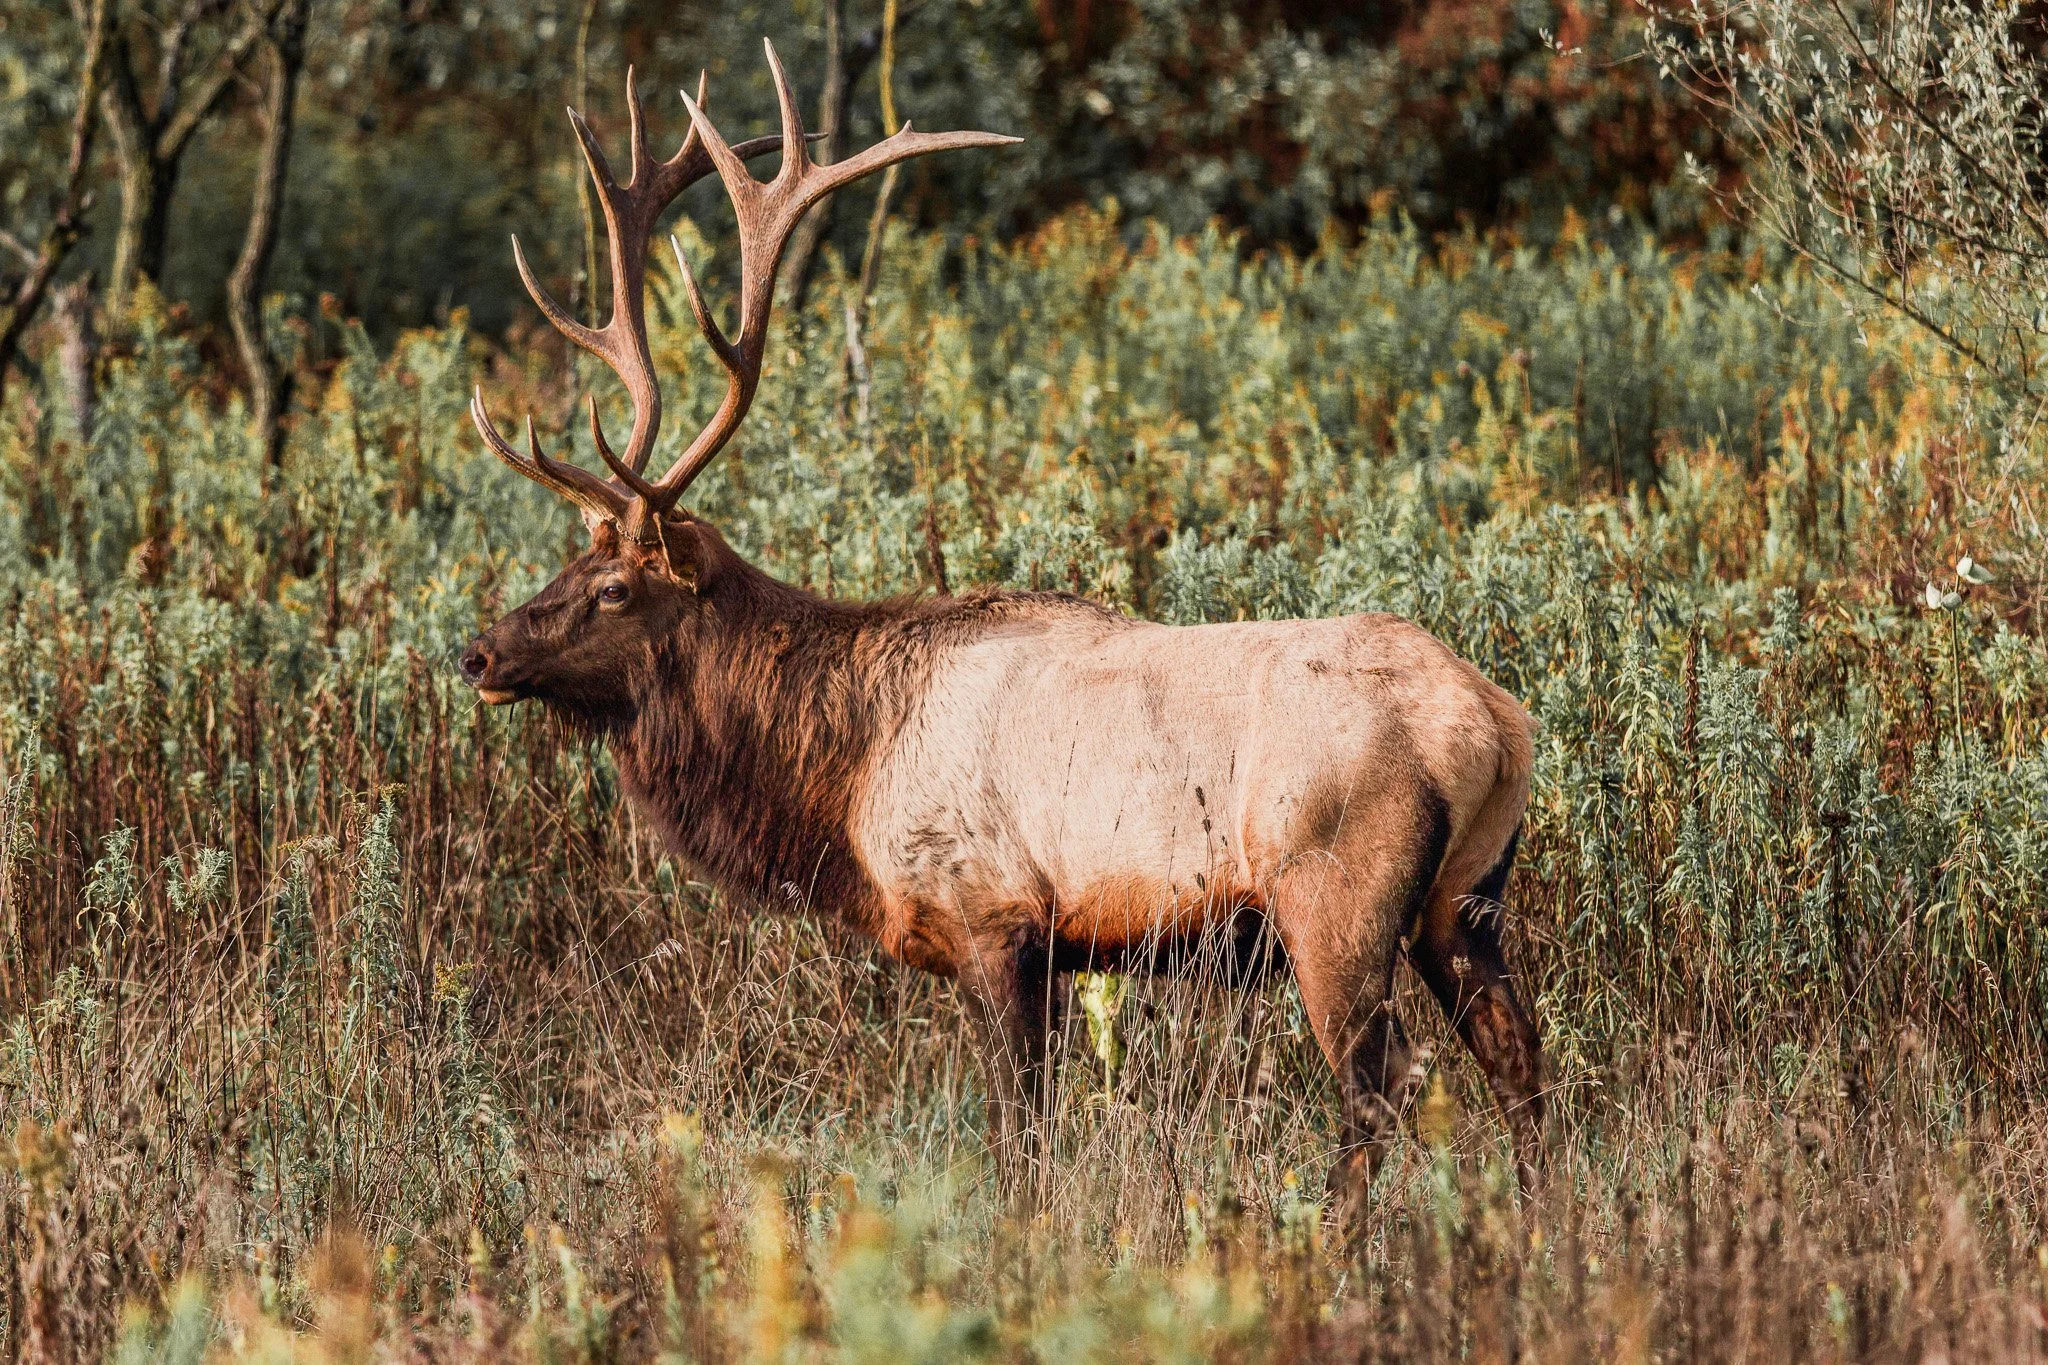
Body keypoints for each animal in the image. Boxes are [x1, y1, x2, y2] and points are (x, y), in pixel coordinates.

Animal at [458, 40, 1546, 1208]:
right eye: (572, 562)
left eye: (616, 587)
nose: (479, 651)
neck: (843, 781)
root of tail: (1488, 722)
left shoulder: (994, 917)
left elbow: (1019, 1132)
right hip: (1464, 898)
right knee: (1518, 1058)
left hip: (1332, 892)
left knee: (1379, 1082)